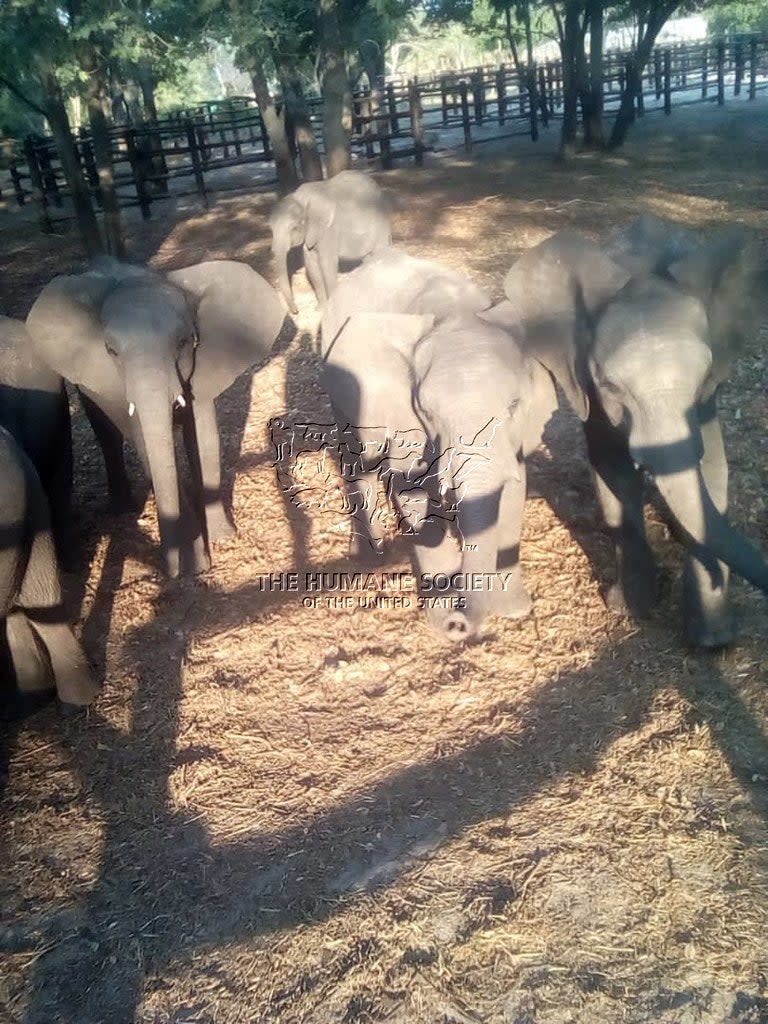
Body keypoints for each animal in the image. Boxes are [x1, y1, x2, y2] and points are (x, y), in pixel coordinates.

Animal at [27, 258, 290, 577]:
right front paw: (193, 565)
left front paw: (223, 538)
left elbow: (204, 440)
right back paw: (123, 508)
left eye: (183, 342)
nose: (168, 570)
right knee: (107, 436)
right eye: (111, 350)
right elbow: (147, 447)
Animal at [268, 167, 391, 313]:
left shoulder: (329, 229)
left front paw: (333, 309)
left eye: (294, 228)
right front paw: (320, 309)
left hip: (381, 225)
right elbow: (312, 266)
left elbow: (327, 265)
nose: (296, 311)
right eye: (270, 229)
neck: (301, 197)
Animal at [319, 247, 561, 638]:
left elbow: (514, 490)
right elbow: (413, 490)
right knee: (358, 458)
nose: (459, 624)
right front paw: (443, 617)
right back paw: (371, 553)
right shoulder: (404, 417)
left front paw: (515, 610)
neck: (453, 312)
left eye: (514, 405)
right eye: (427, 412)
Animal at [505, 227, 768, 647]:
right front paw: (629, 610)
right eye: (612, 386)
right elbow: (613, 472)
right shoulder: (591, 393)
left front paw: (712, 639)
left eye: (704, 375)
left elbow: (713, 465)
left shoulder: (708, 399)